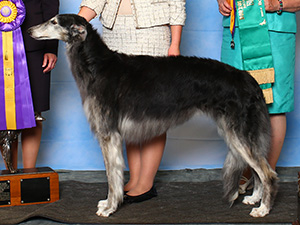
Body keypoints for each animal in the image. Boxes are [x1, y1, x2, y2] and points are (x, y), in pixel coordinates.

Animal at [28, 14, 278, 218]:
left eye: (54, 22)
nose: (29, 30)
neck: (98, 66)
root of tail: (249, 79)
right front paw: (110, 203)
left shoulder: (109, 135)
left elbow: (112, 176)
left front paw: (110, 207)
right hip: (238, 133)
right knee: (260, 169)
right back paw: (254, 199)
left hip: (239, 134)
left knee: (268, 173)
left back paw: (263, 209)